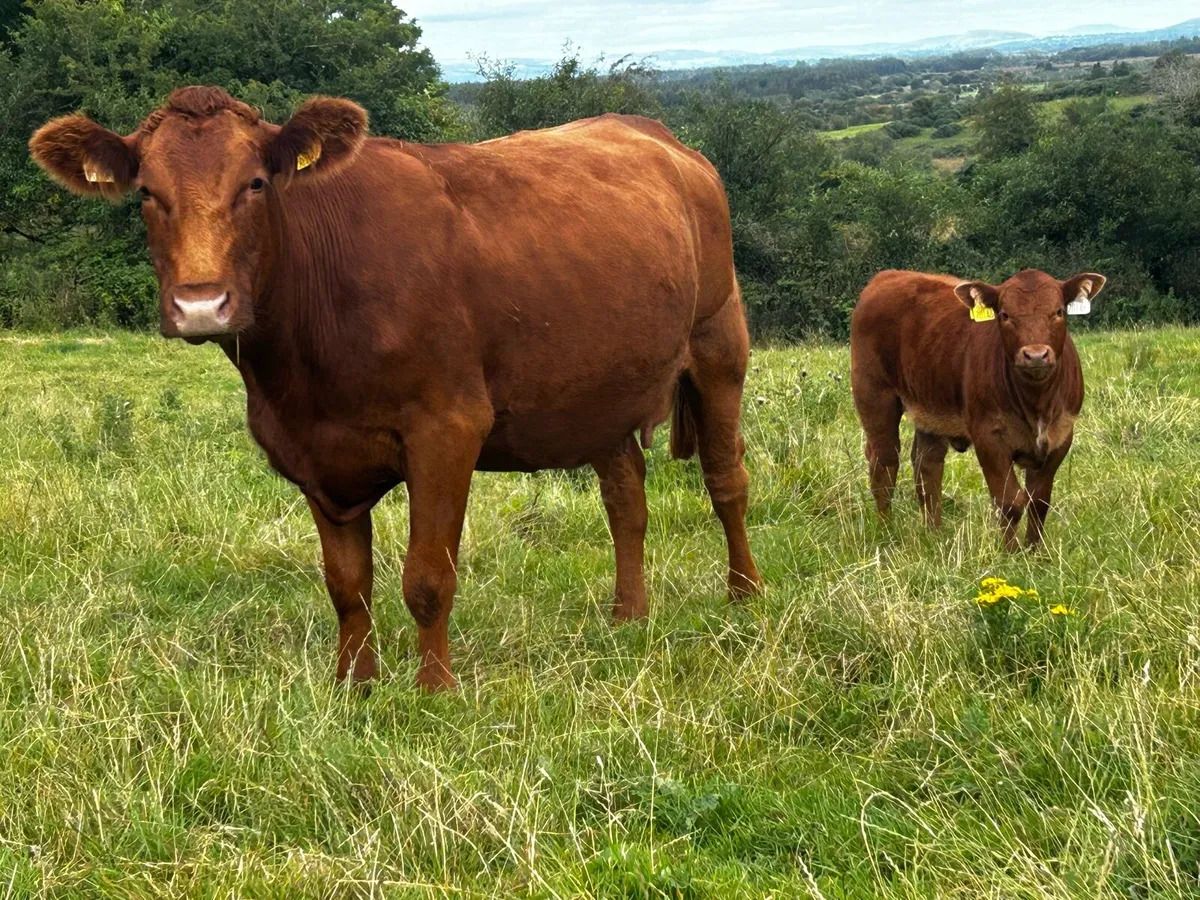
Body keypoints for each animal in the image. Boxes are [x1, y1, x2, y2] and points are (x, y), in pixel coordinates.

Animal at [29, 86, 763, 690]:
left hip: (719, 341)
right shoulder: (308, 448)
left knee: (726, 479)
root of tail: (652, 131)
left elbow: (428, 577)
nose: (202, 304)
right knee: (626, 498)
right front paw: (354, 684)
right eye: (146, 193)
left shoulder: (447, 427)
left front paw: (435, 689)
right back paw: (627, 617)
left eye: (256, 182)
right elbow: (346, 584)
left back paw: (745, 598)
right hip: (600, 387)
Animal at [850, 269, 1105, 550]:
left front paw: (1035, 553)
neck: (1036, 404)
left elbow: (1039, 502)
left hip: (929, 406)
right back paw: (886, 532)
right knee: (884, 464)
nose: (1036, 355)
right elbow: (1009, 502)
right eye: (1004, 315)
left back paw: (934, 534)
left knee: (927, 466)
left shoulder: (1061, 435)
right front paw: (1011, 554)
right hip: (874, 395)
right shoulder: (988, 437)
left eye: (1058, 311)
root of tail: (889, 276)